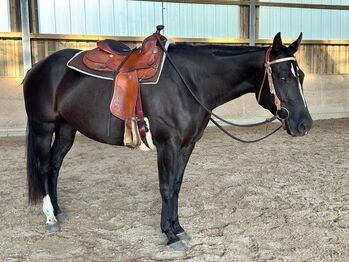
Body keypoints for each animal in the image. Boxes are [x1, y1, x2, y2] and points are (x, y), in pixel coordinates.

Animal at [23, 32, 312, 250]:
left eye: (301, 76)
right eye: (282, 77)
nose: (304, 124)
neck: (190, 83)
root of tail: (37, 67)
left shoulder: (187, 145)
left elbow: (176, 186)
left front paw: (178, 229)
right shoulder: (167, 145)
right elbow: (165, 187)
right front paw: (170, 236)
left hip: (66, 129)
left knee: (56, 166)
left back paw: (58, 211)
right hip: (43, 128)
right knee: (44, 167)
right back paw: (50, 219)